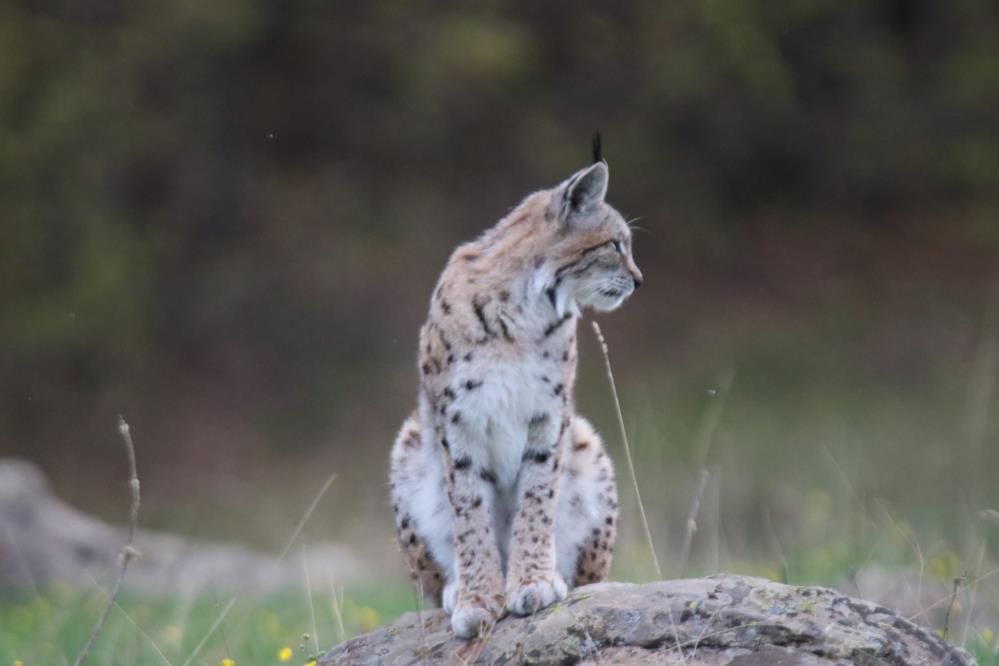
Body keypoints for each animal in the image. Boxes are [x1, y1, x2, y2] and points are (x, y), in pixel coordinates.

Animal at [386, 153, 644, 636]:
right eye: (615, 245)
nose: (639, 281)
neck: (523, 307)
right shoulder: (457, 416)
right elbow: (469, 508)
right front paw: (478, 599)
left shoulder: (550, 411)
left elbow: (537, 495)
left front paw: (533, 582)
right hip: (409, 441)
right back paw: (454, 589)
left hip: (587, 442)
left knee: (590, 575)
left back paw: (559, 576)